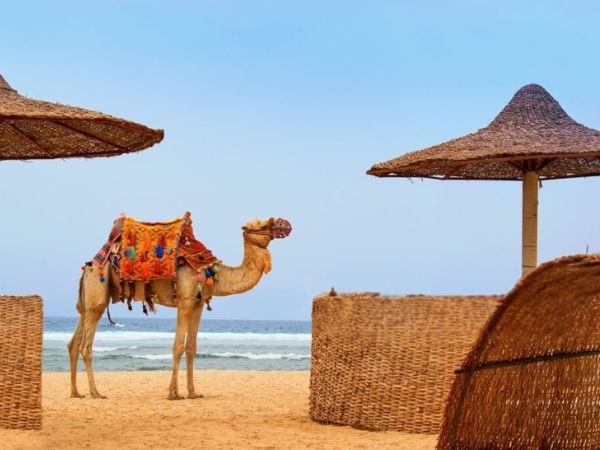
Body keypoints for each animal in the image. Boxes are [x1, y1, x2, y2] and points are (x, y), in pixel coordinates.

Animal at [68, 218, 290, 400]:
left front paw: (193, 392)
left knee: (74, 342)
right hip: (98, 287)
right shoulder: (185, 299)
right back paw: (95, 393)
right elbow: (178, 346)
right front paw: (173, 393)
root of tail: (88, 266)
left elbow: (192, 347)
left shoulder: (198, 303)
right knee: (86, 345)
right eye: (262, 223)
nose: (285, 224)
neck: (210, 271)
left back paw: (76, 392)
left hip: (88, 299)